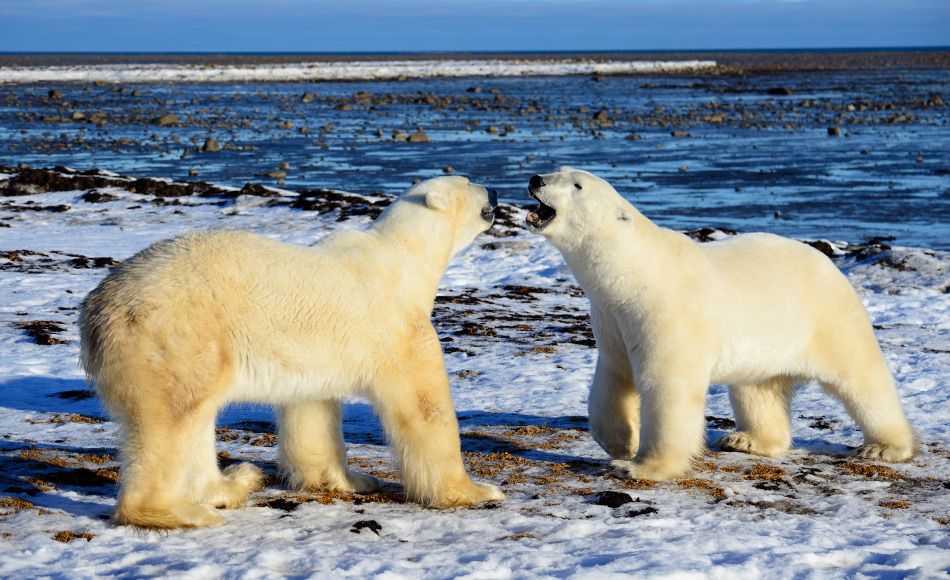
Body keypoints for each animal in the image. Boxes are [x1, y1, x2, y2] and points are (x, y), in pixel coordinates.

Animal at [80, 174, 506, 528]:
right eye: (469, 181)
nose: (497, 192)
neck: (404, 257)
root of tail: (96, 312)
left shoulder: (314, 354)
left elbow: (312, 411)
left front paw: (352, 479)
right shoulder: (398, 327)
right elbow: (425, 406)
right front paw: (474, 490)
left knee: (195, 422)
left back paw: (233, 482)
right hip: (175, 338)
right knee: (170, 421)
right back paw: (180, 511)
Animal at [524, 167, 920, 480]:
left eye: (577, 185)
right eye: (557, 169)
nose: (535, 178)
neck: (634, 272)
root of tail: (831, 266)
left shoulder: (666, 312)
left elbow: (668, 386)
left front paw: (640, 467)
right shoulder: (611, 318)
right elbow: (613, 377)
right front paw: (622, 443)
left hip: (828, 317)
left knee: (862, 379)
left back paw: (884, 447)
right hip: (766, 343)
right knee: (757, 389)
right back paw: (747, 439)